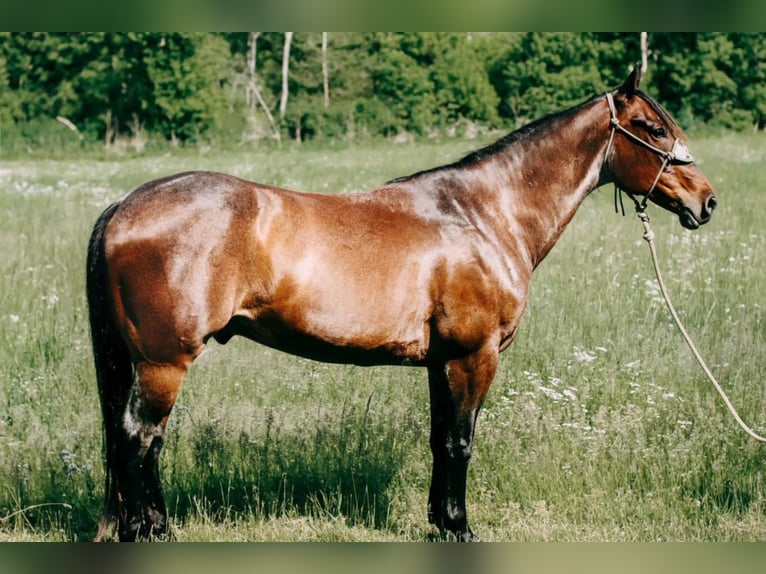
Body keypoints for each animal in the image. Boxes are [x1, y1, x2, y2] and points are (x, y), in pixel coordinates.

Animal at [87, 68, 716, 544]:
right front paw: (460, 528)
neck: (484, 214)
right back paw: (148, 532)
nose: (706, 201)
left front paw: (440, 522)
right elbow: (461, 441)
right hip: (164, 362)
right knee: (138, 436)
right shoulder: (473, 355)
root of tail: (123, 205)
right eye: (651, 128)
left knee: (141, 440)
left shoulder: (442, 361)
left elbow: (441, 438)